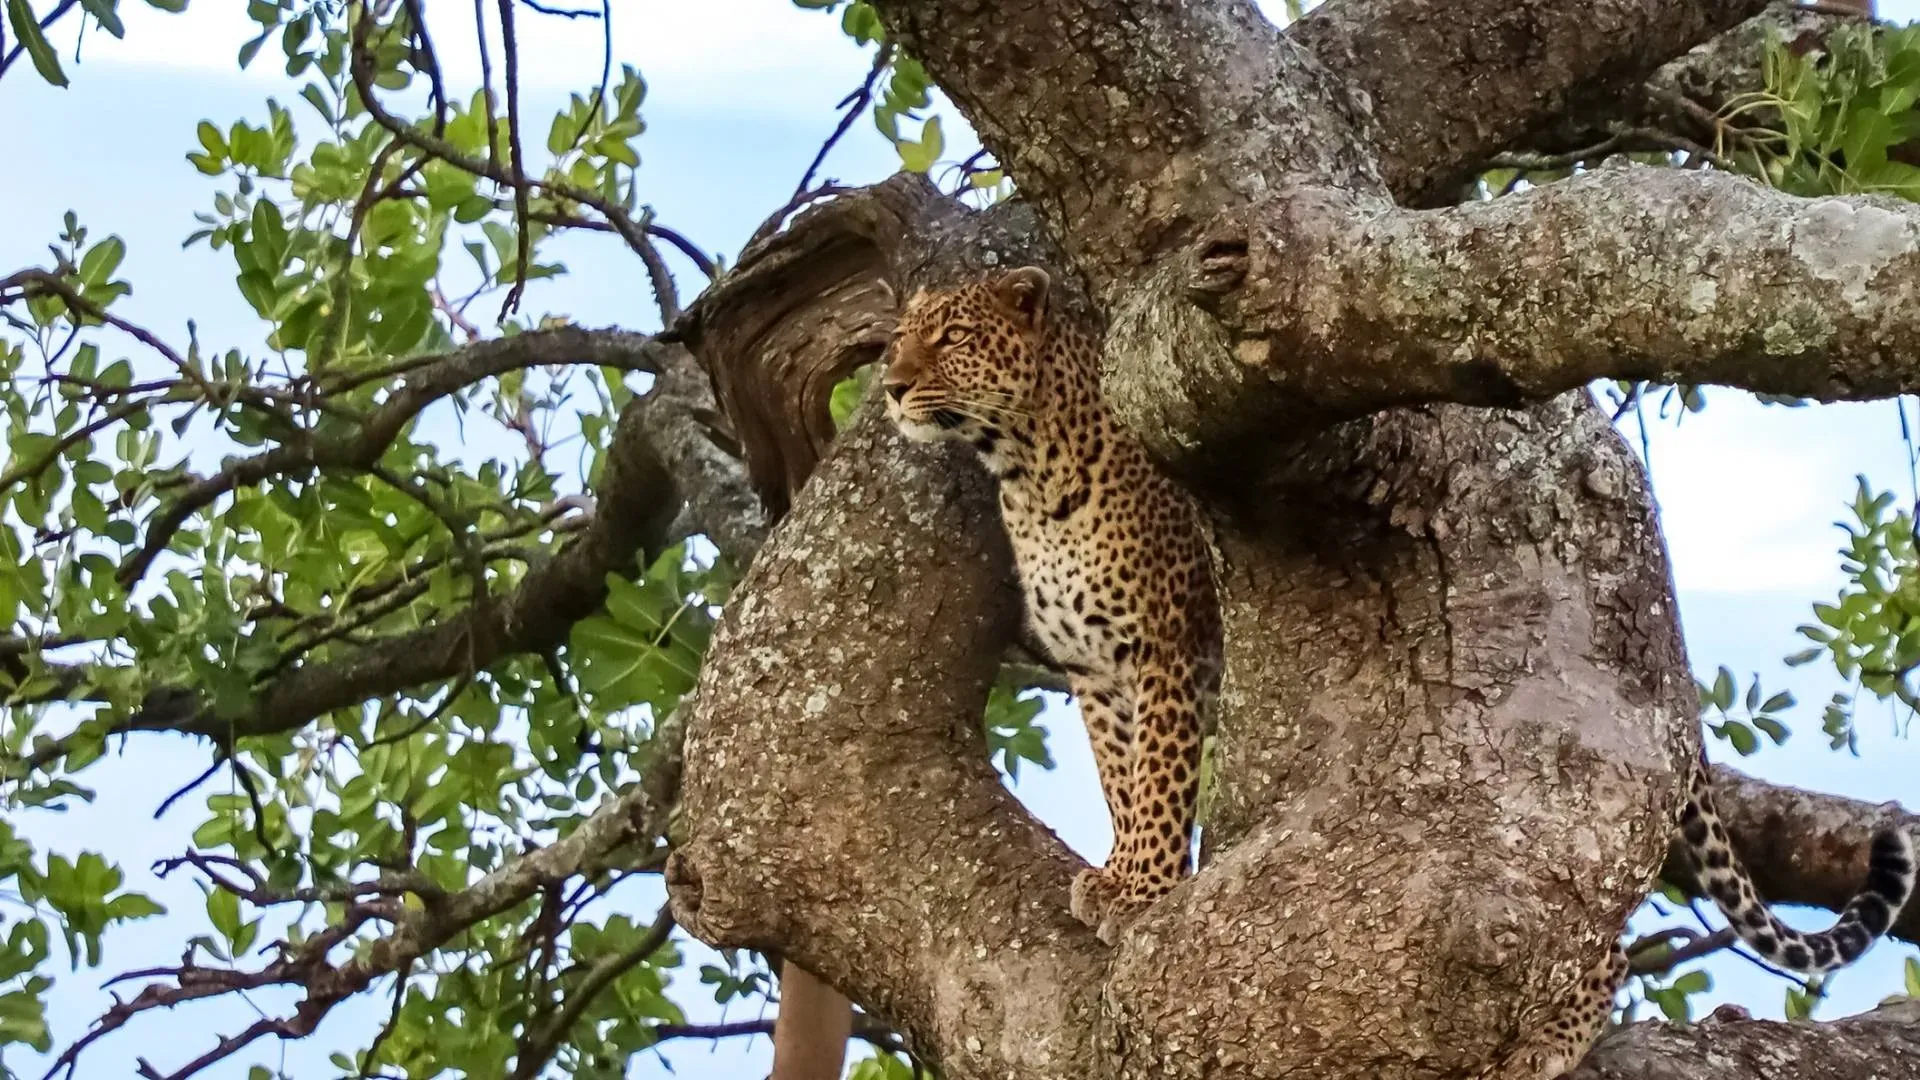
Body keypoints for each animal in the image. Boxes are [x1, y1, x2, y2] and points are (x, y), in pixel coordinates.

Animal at [881, 265, 1222, 944]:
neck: (1029, 475)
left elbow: (1158, 773)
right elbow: (1120, 777)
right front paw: (1118, 875)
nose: (891, 387)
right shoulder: (1090, 664)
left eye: (954, 337)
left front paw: (1149, 890)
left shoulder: (1169, 641)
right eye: (900, 339)